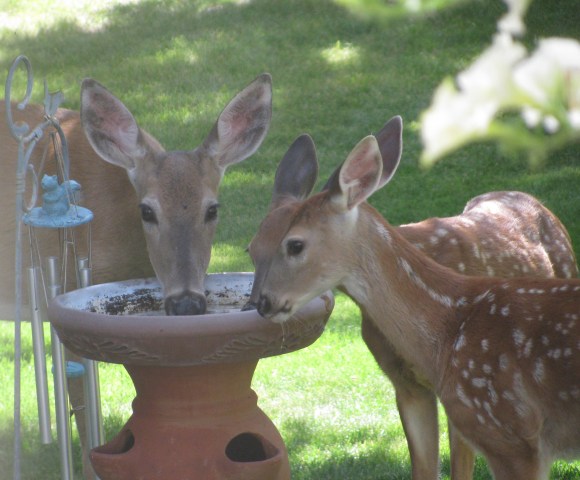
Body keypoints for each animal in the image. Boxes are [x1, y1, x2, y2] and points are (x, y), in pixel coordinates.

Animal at [247, 119, 580, 480]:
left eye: (295, 244)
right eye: (251, 248)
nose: (261, 303)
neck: (449, 327)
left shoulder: (511, 435)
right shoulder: (408, 387)